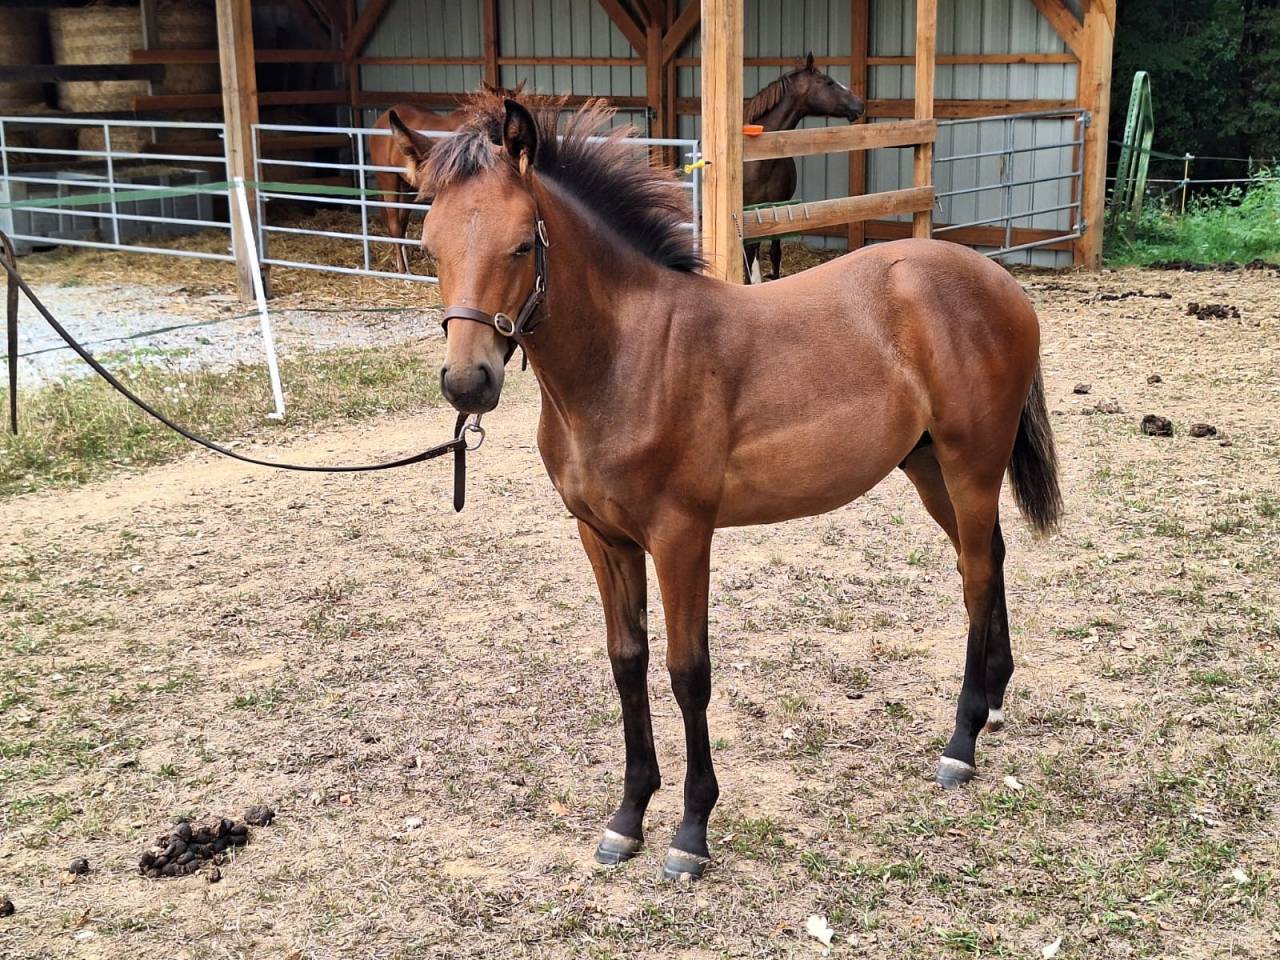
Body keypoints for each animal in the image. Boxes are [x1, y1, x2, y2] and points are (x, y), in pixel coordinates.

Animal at [368, 80, 524, 274]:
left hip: (407, 186)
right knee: (395, 225)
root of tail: (381, 120)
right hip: (388, 179)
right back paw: (403, 270)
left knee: (401, 224)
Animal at [388, 96, 1062, 881]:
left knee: (977, 576)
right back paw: (993, 704)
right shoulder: (602, 537)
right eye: (431, 246)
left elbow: (687, 673)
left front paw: (690, 831)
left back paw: (960, 744)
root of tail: (1000, 282)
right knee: (988, 559)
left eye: (524, 245)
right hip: (927, 469)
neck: (629, 357)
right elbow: (627, 663)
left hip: (970, 463)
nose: (468, 383)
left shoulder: (681, 536)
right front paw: (627, 818)